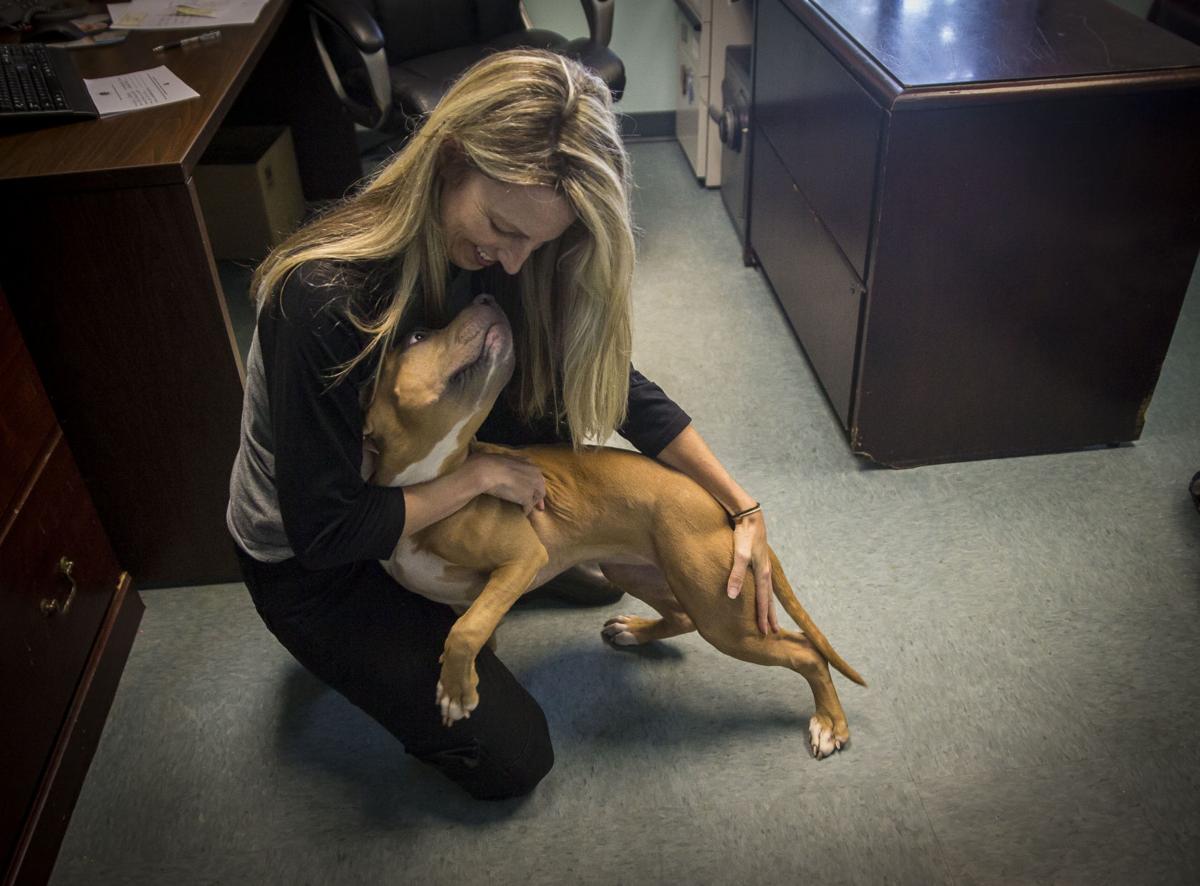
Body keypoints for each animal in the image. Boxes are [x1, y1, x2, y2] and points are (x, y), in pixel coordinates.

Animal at [364, 295, 864, 753]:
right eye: (417, 336)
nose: (486, 296)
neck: (433, 484)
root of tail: (721, 507)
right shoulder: (468, 595)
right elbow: (474, 628)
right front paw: (465, 674)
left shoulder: (522, 560)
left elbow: (466, 630)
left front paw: (455, 691)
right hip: (637, 572)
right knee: (686, 616)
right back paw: (636, 631)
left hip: (724, 620)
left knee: (806, 652)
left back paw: (830, 724)